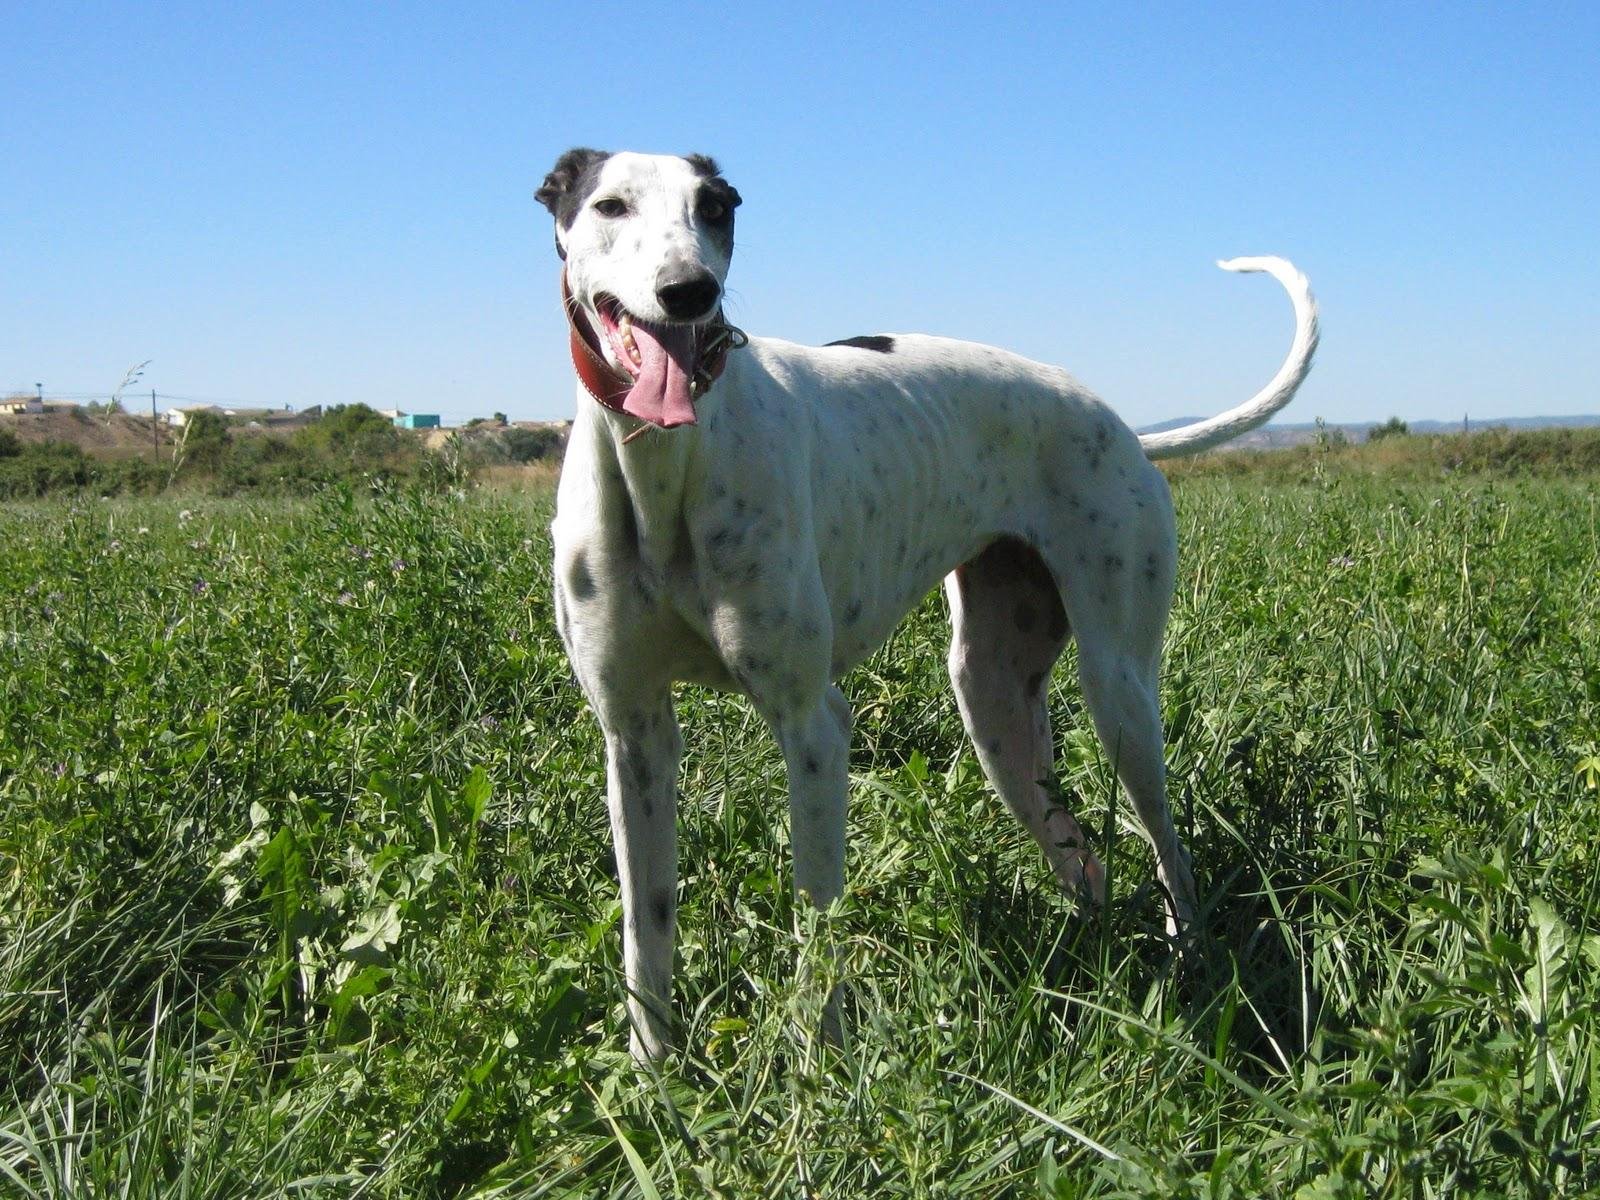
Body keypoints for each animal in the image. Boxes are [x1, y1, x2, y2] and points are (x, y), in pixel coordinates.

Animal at [531, 150, 1318, 1062]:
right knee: (1083, 858)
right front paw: (653, 1075)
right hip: (995, 707)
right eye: (610, 205)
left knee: (1165, 843)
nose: (689, 290)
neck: (666, 470)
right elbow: (645, 928)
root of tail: (1122, 425)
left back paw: (1186, 955)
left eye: (716, 207)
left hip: (1119, 692)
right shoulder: (634, 738)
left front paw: (820, 1069)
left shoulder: (812, 726)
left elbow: (817, 921)